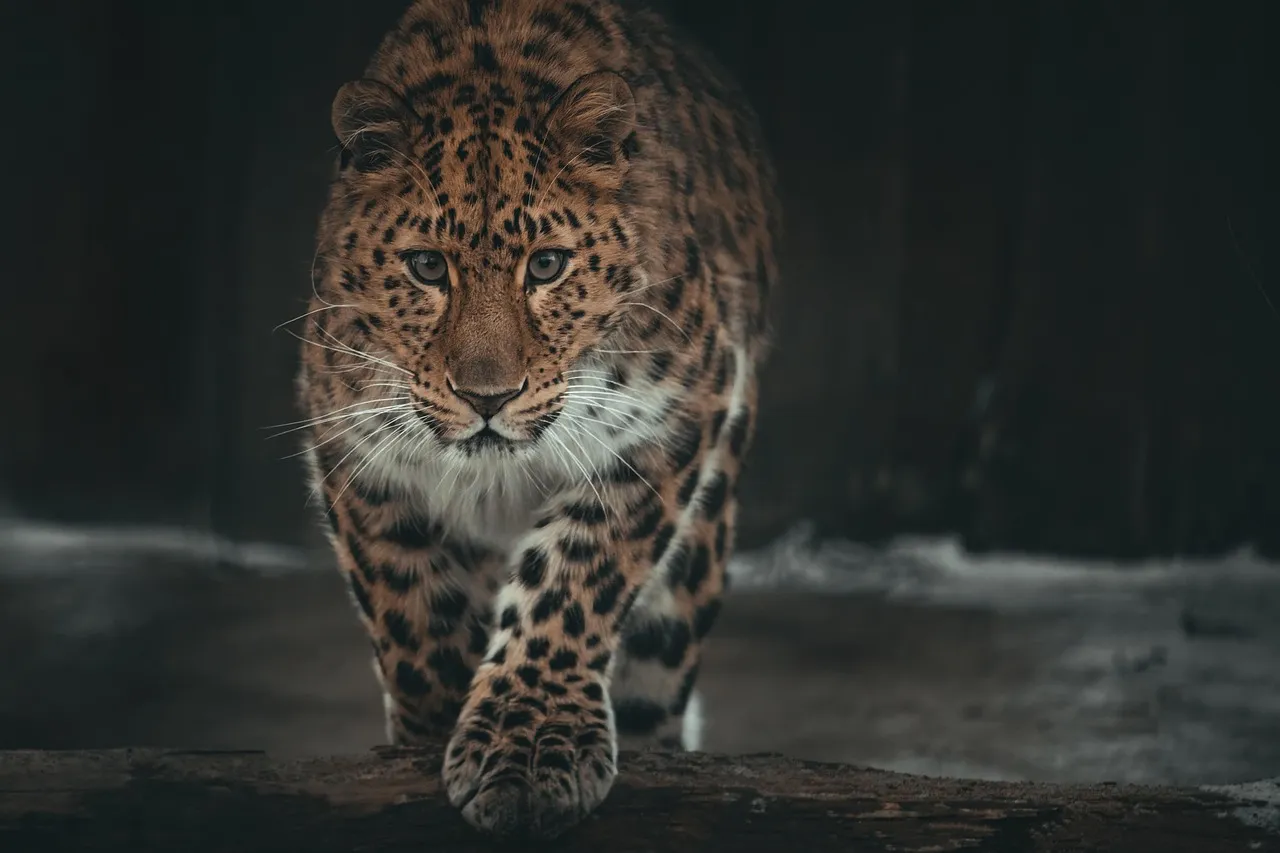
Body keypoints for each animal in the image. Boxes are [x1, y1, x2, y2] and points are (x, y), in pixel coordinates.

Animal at [294, 0, 779, 837]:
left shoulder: (675, 414)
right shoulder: (352, 438)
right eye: (427, 266)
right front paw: (430, 728)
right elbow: (411, 608)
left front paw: (529, 745)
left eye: (547, 265)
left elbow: (573, 578)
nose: (488, 396)